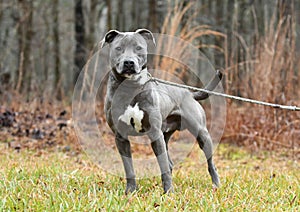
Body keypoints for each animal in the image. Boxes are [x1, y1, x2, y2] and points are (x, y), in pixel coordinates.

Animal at [102, 28, 221, 194]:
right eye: (118, 48)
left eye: (138, 48)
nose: (129, 62)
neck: (130, 87)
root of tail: (189, 92)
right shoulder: (121, 137)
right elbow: (129, 167)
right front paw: (130, 191)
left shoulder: (154, 133)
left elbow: (163, 165)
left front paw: (169, 192)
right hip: (165, 135)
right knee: (169, 162)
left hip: (201, 133)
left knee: (210, 163)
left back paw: (216, 185)